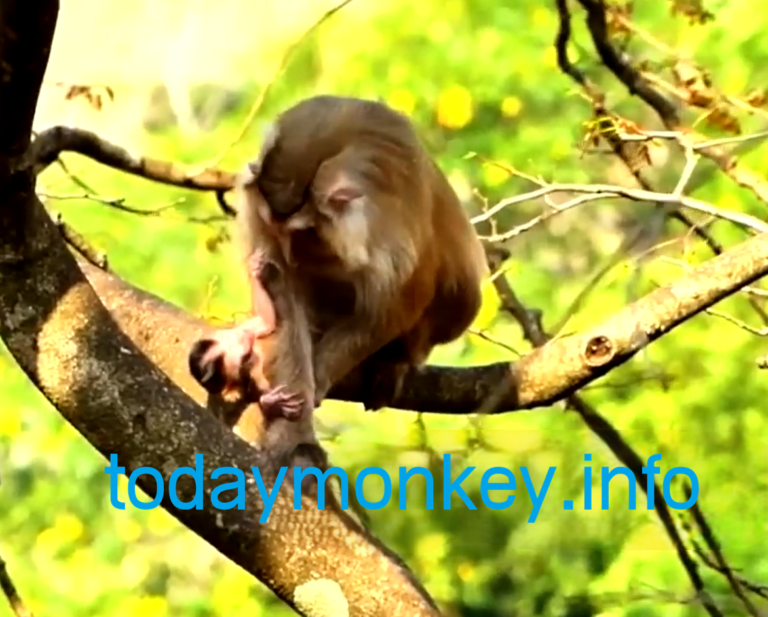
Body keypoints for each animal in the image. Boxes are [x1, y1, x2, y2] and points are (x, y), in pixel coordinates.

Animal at [188, 94, 489, 421]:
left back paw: (395, 361)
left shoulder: (395, 227)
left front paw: (321, 374)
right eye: (278, 230)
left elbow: (393, 306)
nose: (291, 257)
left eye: (304, 233)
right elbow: (284, 298)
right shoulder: (259, 218)